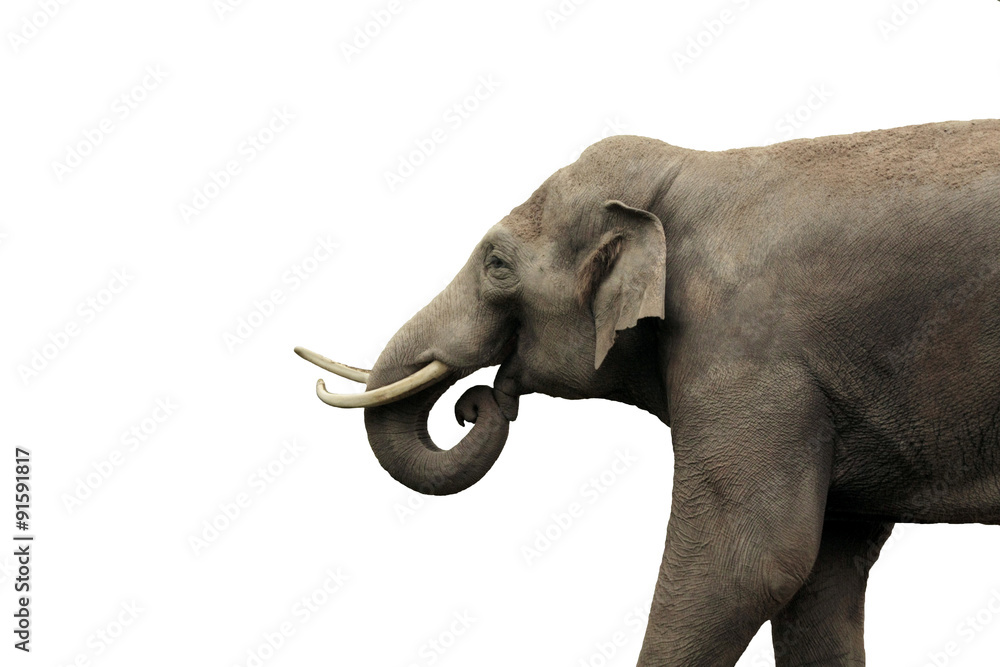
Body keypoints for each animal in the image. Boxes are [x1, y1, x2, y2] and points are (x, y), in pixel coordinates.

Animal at [295, 118, 1000, 665]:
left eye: (496, 265)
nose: (476, 405)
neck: (682, 175)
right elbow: (823, 572)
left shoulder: (745, 346)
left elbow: (749, 563)